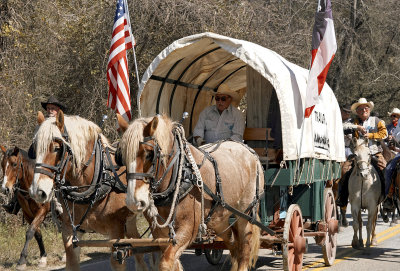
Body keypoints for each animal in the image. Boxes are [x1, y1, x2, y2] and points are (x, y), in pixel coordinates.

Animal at [28, 111, 149, 270]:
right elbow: (72, 263)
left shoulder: (116, 232)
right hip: (129, 221)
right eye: (34, 149)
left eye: (56, 148)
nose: (37, 191)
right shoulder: (70, 232)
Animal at [117, 115, 264, 271]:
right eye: (121, 157)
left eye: (149, 154)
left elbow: (166, 262)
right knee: (233, 243)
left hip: (245, 214)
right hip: (220, 219)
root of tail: (249, 151)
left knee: (245, 248)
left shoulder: (189, 228)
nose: (134, 202)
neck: (181, 174)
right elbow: (172, 261)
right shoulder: (160, 234)